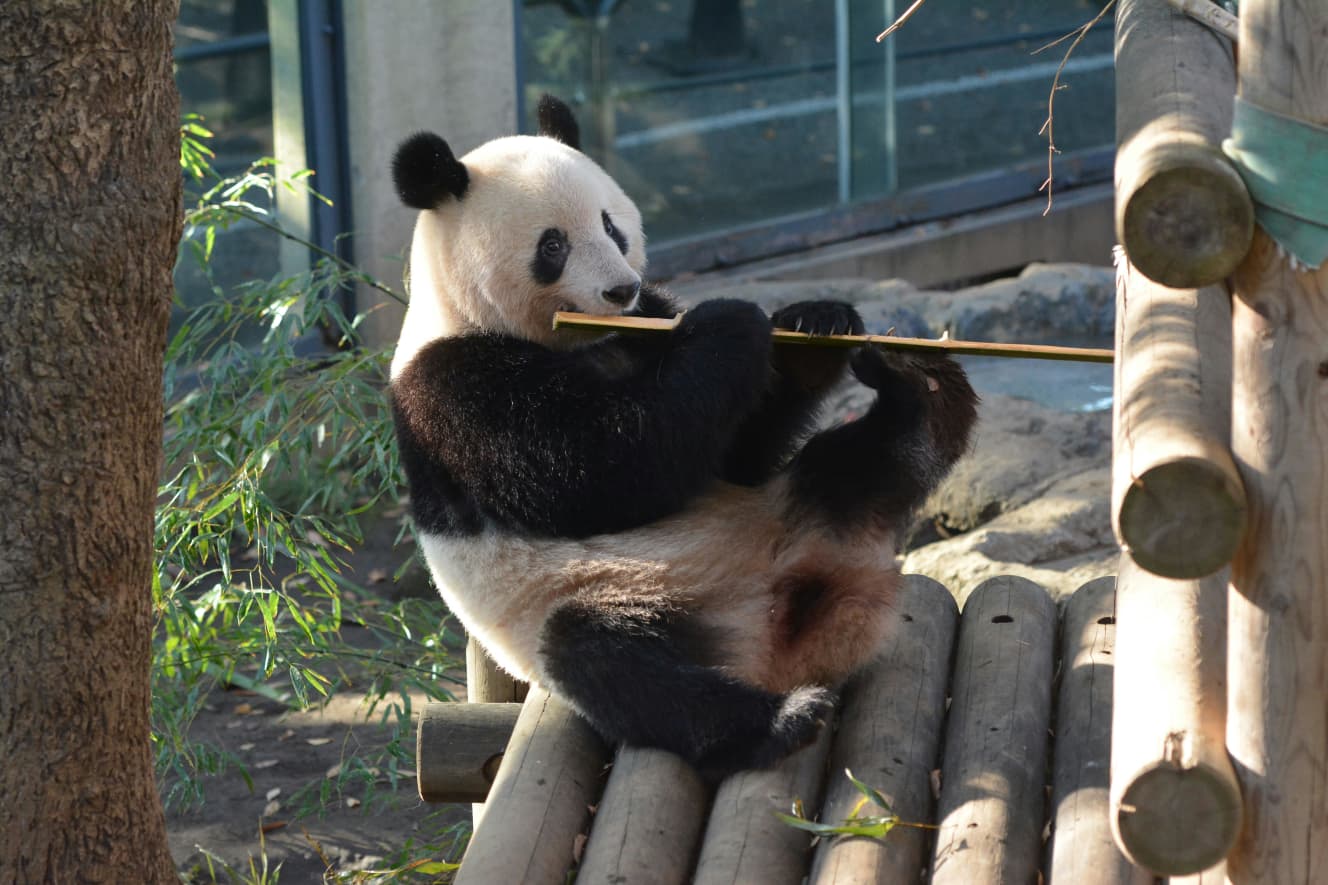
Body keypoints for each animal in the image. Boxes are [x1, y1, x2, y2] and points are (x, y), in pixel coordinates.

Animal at [385, 96, 977, 770]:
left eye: (612, 225)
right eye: (552, 244)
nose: (621, 288)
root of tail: (778, 640)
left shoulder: (650, 319)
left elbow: (737, 453)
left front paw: (814, 323)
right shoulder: (453, 386)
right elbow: (598, 473)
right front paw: (732, 322)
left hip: (795, 504)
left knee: (852, 464)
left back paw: (927, 397)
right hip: (591, 599)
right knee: (617, 667)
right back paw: (780, 720)